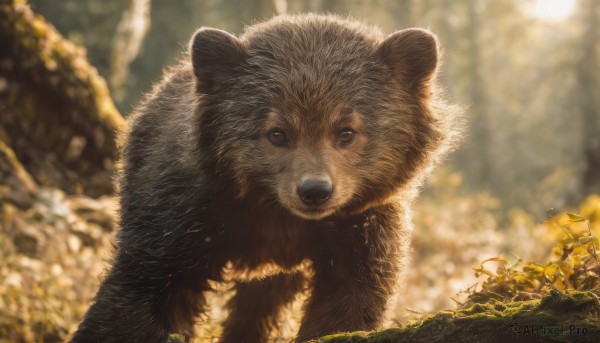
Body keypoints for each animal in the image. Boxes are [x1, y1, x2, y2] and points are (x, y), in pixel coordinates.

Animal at [72, 13, 462, 343]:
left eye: (346, 132)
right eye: (277, 133)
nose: (315, 191)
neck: (274, 215)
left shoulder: (361, 226)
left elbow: (348, 303)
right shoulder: (183, 218)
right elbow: (141, 293)